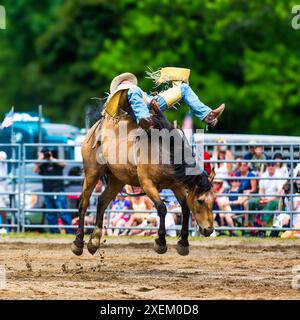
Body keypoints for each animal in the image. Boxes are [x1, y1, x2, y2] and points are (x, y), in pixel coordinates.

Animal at [71, 104, 216, 256]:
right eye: (200, 201)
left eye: (213, 200)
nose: (209, 230)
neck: (166, 152)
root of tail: (98, 125)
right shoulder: (147, 184)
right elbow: (162, 208)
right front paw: (161, 242)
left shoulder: (177, 186)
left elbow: (186, 208)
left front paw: (183, 243)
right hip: (92, 172)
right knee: (83, 203)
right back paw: (78, 242)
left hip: (117, 179)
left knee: (102, 201)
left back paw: (94, 242)